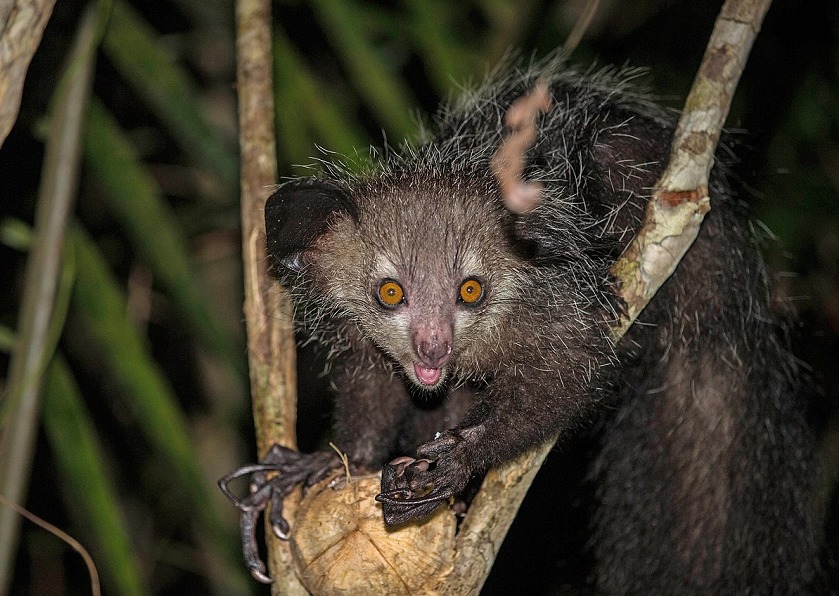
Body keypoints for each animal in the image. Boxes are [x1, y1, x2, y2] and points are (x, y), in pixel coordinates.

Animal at [220, 60, 823, 592]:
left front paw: (460, 460)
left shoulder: (552, 302)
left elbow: (570, 373)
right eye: (390, 292)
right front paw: (329, 462)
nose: (433, 351)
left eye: (471, 289)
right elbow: (375, 388)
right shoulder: (366, 338)